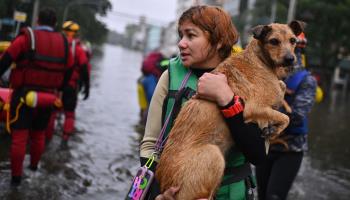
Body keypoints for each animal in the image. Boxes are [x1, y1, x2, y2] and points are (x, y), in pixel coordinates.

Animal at [155, 21, 304, 199]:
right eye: (274, 41)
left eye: (293, 40)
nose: (290, 59)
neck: (259, 60)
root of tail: (164, 184)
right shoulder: (253, 108)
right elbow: (285, 118)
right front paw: (274, 130)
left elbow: (282, 92)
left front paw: (271, 128)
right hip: (213, 154)